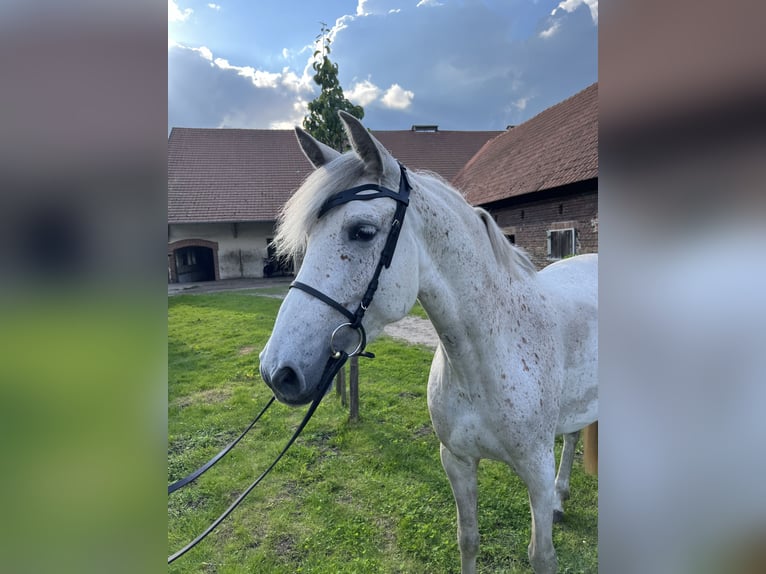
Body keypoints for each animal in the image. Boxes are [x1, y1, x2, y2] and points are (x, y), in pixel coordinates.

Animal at [260, 110, 604, 572]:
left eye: (362, 231)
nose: (277, 370)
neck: (486, 357)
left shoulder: (535, 468)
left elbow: (541, 556)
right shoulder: (456, 461)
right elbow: (468, 539)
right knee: (571, 437)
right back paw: (561, 498)